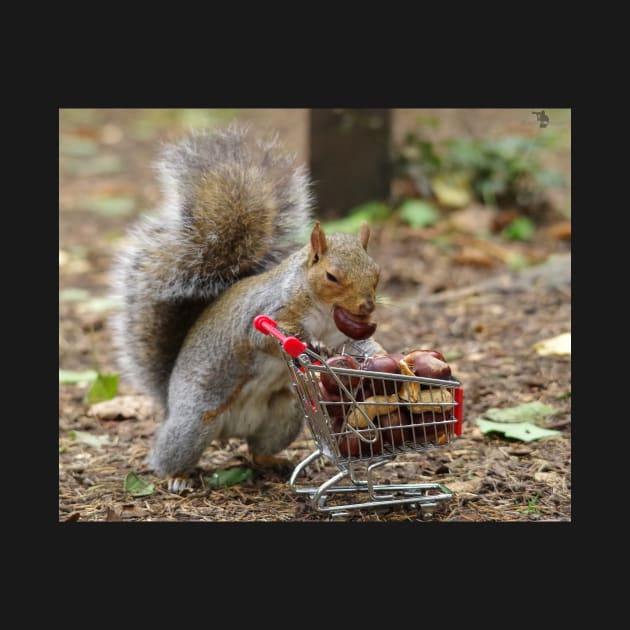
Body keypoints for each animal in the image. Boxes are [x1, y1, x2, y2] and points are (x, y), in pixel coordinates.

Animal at [111, 121, 382, 492]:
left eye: (377, 273)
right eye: (331, 276)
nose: (367, 307)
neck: (325, 313)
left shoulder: (343, 333)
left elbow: (357, 345)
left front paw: (379, 354)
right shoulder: (268, 312)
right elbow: (268, 338)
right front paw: (309, 344)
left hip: (285, 413)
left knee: (258, 451)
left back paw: (277, 462)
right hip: (193, 425)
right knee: (168, 454)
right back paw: (177, 476)